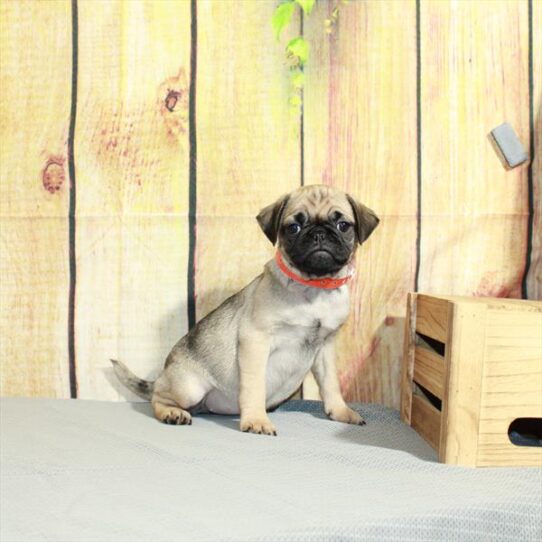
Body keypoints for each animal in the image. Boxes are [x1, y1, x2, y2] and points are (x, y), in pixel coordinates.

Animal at [112, 185, 380, 436]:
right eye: (293, 228)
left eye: (343, 225)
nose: (319, 233)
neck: (314, 286)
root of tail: (162, 376)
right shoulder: (255, 341)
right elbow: (254, 387)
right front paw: (256, 420)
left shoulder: (324, 348)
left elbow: (330, 385)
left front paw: (340, 412)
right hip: (189, 388)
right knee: (158, 399)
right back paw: (172, 413)